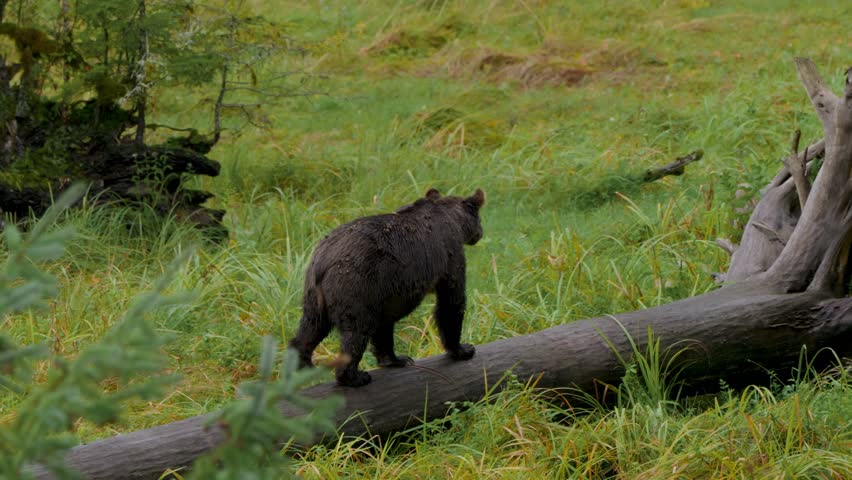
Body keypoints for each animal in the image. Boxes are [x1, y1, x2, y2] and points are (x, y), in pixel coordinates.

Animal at [288, 188, 485, 387]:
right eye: (480, 219)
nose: (480, 233)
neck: (453, 220)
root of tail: (323, 262)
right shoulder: (450, 254)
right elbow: (451, 301)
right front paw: (463, 349)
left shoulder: (386, 291)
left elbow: (385, 324)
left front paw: (396, 358)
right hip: (355, 287)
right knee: (356, 332)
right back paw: (355, 376)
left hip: (314, 295)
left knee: (311, 326)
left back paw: (303, 364)